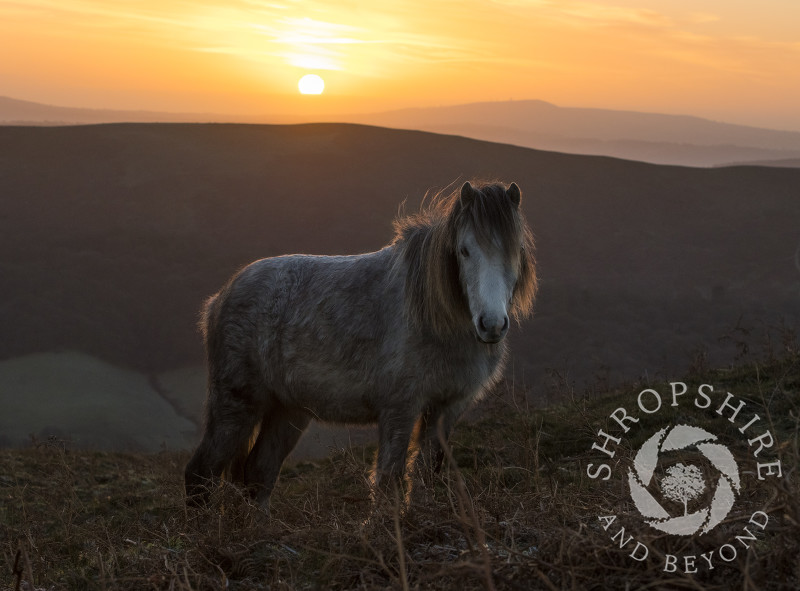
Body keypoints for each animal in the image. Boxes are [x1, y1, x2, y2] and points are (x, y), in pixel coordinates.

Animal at [186, 182, 536, 512]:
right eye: (464, 251)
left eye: (516, 250)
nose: (491, 324)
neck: (432, 315)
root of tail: (220, 297)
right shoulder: (400, 408)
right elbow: (389, 478)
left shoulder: (447, 408)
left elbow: (427, 471)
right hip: (236, 405)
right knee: (201, 472)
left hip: (287, 410)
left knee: (259, 472)